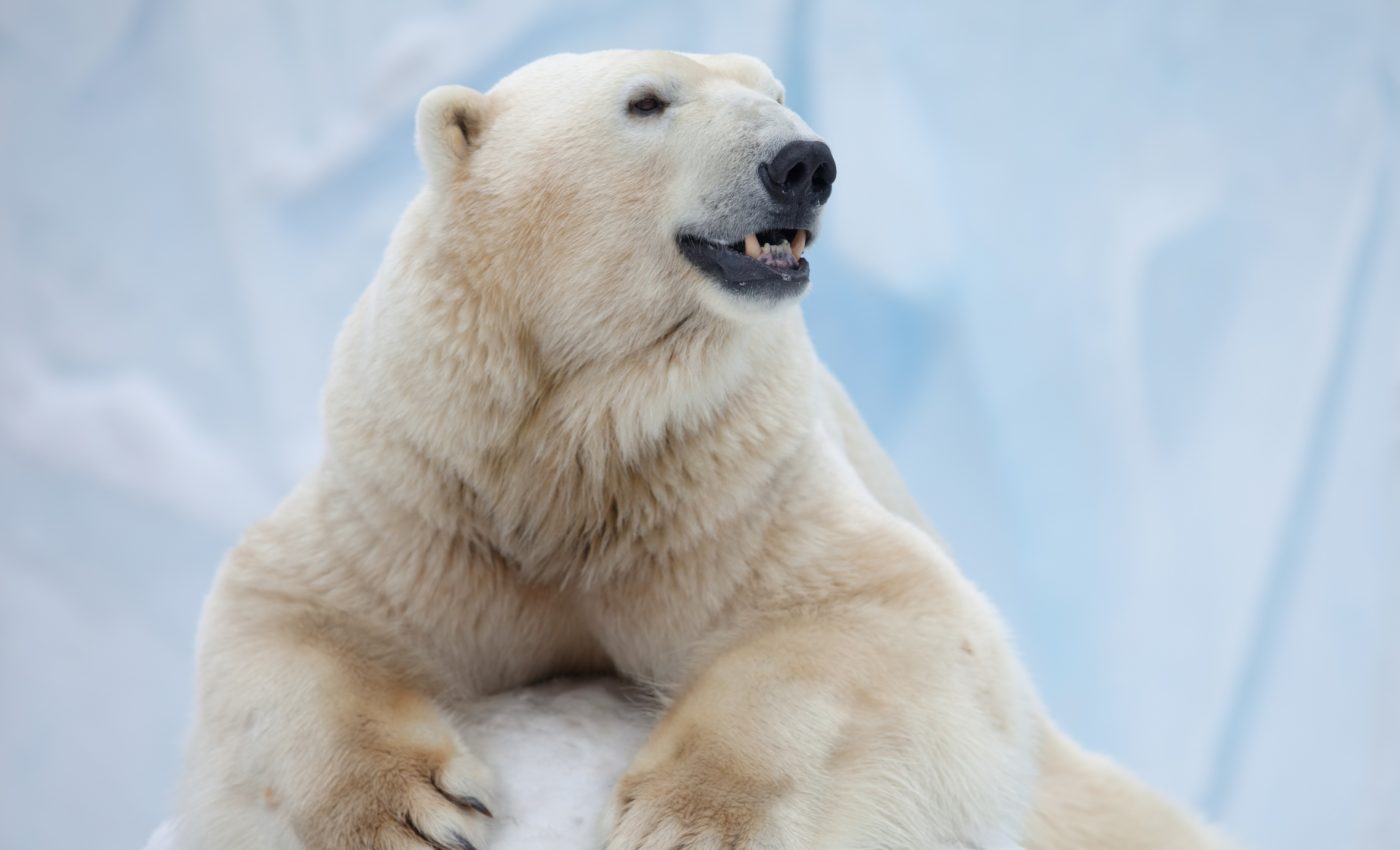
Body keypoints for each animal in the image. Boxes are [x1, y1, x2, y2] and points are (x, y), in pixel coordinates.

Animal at [176, 50, 1237, 850]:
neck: (578, 434)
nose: (805, 161)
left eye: (776, 90)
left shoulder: (727, 482)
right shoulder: (423, 484)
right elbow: (291, 614)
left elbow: (879, 615)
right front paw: (410, 812)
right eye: (645, 100)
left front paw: (685, 823)